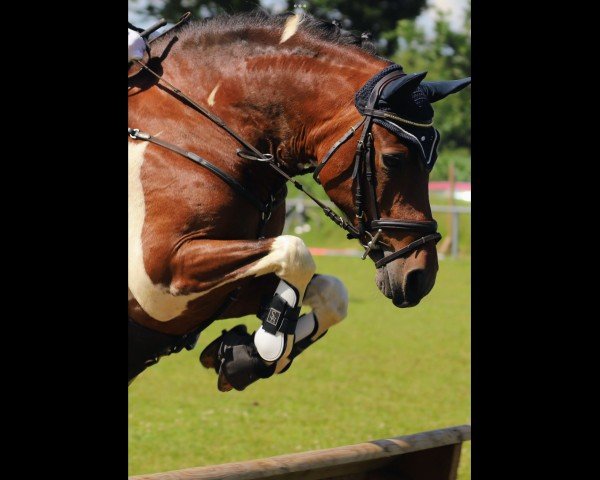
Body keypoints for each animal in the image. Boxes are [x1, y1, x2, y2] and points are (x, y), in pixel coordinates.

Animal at [127, 11, 474, 392]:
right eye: (393, 159)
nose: (419, 278)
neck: (200, 130)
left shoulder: (222, 293)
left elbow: (330, 292)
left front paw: (244, 358)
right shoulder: (159, 276)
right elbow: (295, 250)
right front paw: (266, 347)